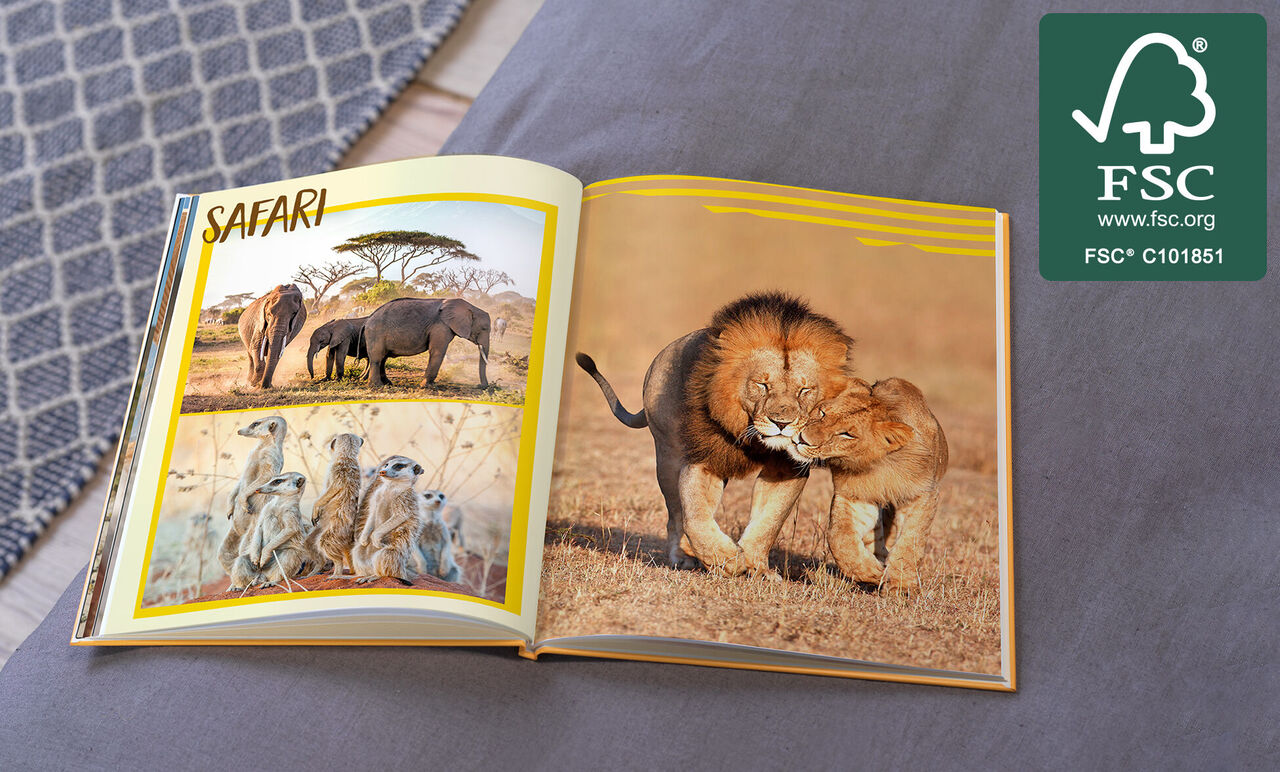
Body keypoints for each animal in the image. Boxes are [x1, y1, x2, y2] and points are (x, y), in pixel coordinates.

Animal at [576, 292, 853, 577]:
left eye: (804, 390)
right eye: (762, 385)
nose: (781, 423)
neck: (751, 437)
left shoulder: (786, 468)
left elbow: (770, 520)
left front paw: (757, 567)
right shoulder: (705, 459)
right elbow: (695, 517)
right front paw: (727, 560)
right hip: (667, 455)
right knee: (675, 514)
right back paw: (683, 557)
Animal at [789, 377, 947, 592]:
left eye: (847, 434)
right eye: (822, 413)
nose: (802, 440)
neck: (881, 465)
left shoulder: (922, 494)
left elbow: (911, 541)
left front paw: (901, 586)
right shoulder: (856, 496)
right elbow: (839, 537)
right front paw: (871, 573)